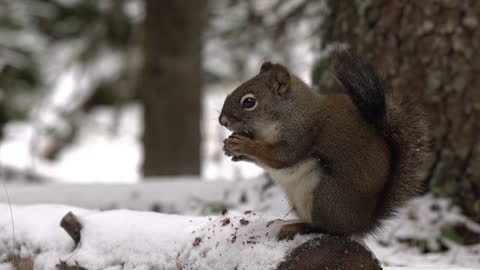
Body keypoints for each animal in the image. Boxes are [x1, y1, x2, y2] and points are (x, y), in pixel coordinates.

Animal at [219, 49, 430, 239]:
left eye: (249, 102)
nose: (222, 121)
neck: (289, 113)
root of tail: (361, 223)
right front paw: (231, 148)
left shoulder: (301, 134)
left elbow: (280, 157)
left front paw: (244, 146)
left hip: (326, 194)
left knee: (327, 228)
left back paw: (297, 228)